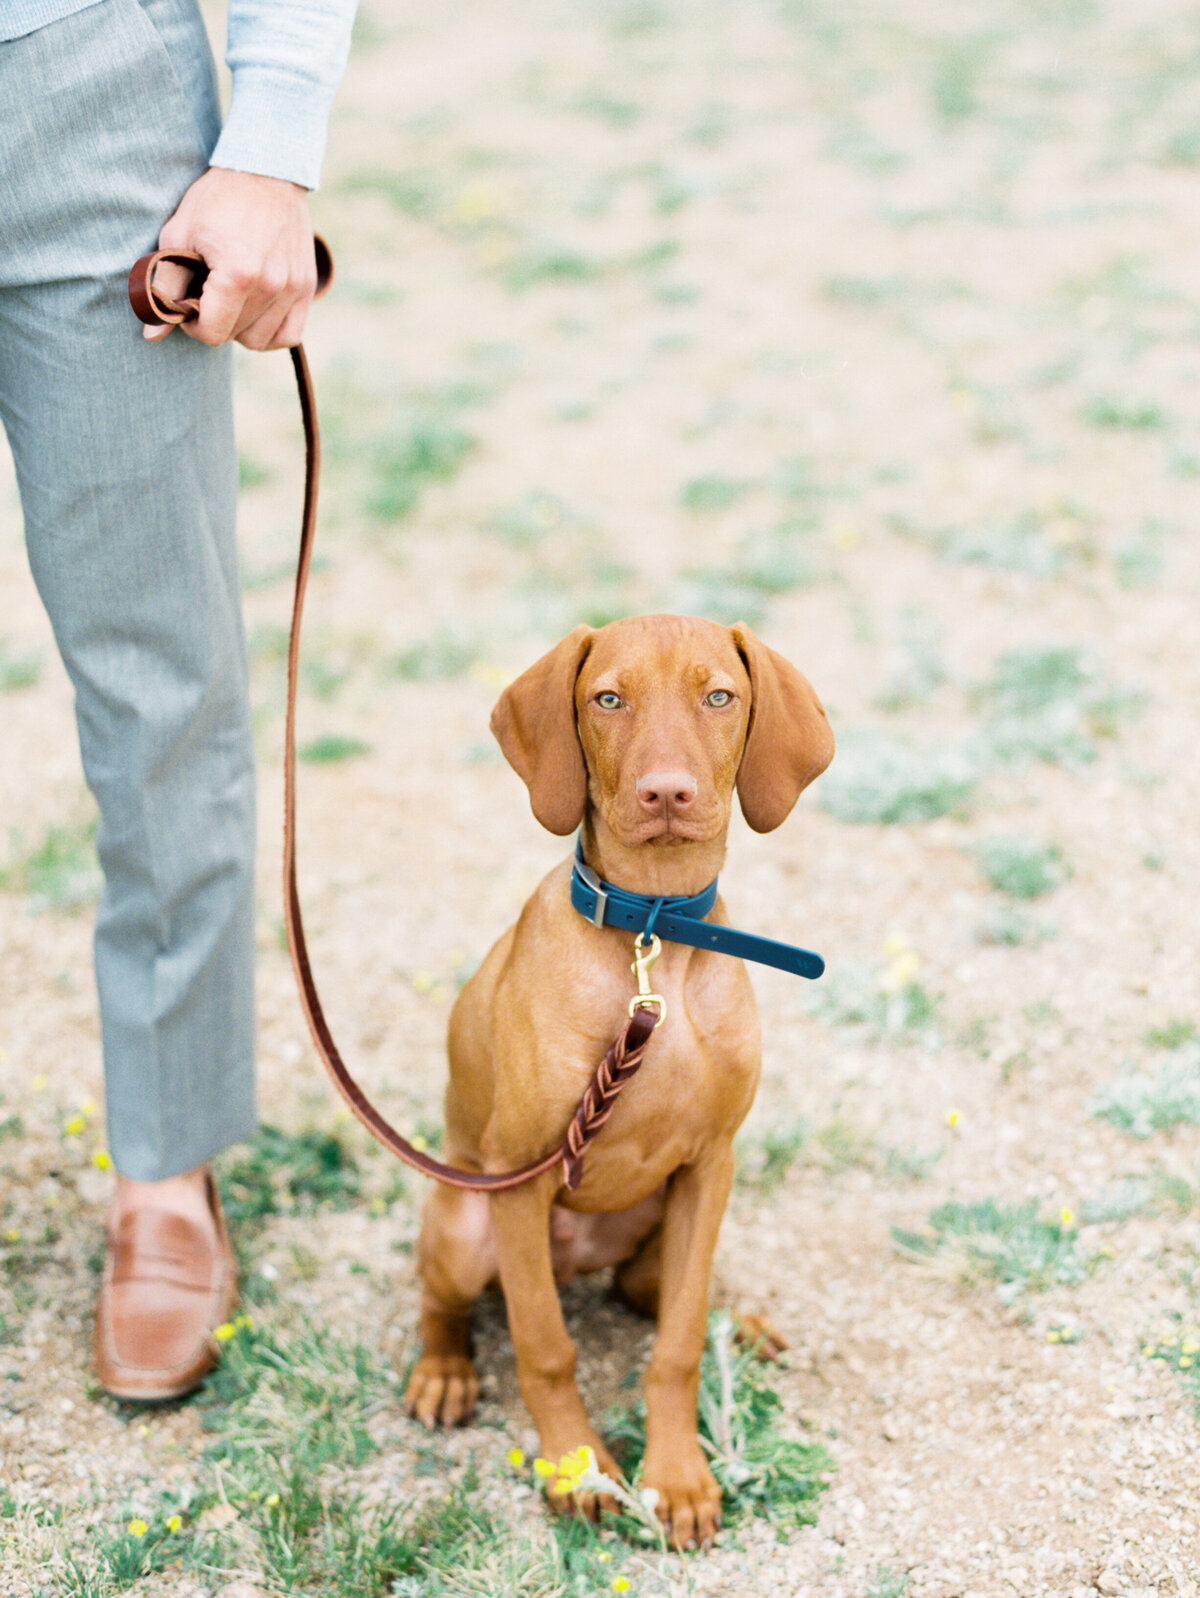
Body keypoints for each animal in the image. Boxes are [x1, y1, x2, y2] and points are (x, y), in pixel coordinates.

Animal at [405, 613, 837, 1546]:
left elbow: (677, 1343)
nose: (666, 793)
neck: (654, 938)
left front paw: (674, 1477)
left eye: (720, 696)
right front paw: (579, 1468)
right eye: (607, 699)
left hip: (666, 1215)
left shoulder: (711, 1164)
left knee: (660, 1293)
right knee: (443, 1297)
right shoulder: (518, 1177)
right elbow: (545, 1346)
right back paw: (443, 1371)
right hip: (464, 1224)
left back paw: (739, 1321)